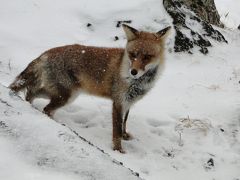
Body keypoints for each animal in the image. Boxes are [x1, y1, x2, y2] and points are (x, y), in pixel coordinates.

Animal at [9, 23, 171, 153]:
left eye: (147, 57)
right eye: (133, 54)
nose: (133, 72)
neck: (137, 82)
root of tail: (45, 53)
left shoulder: (128, 102)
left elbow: (124, 123)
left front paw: (125, 136)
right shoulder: (118, 102)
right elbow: (117, 130)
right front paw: (118, 150)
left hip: (62, 93)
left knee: (31, 92)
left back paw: (28, 104)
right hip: (66, 96)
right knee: (45, 108)